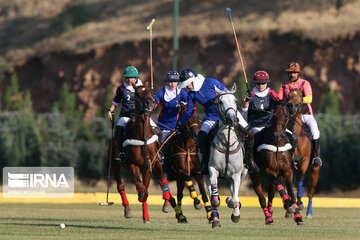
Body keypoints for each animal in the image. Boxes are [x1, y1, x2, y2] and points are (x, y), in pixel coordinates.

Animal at [205, 83, 248, 228]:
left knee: (233, 190)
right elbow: (213, 184)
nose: (232, 119)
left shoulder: (236, 174)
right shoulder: (212, 168)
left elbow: (234, 198)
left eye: (235, 100)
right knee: (210, 189)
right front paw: (217, 199)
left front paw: (235, 212)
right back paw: (215, 218)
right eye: (220, 102)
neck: (227, 142)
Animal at [286, 87, 320, 218]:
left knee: (311, 193)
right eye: (288, 95)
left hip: (315, 170)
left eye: (301, 95)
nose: (293, 106)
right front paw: (292, 206)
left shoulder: (304, 161)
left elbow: (300, 179)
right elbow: (290, 185)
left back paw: (309, 212)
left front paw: (299, 202)